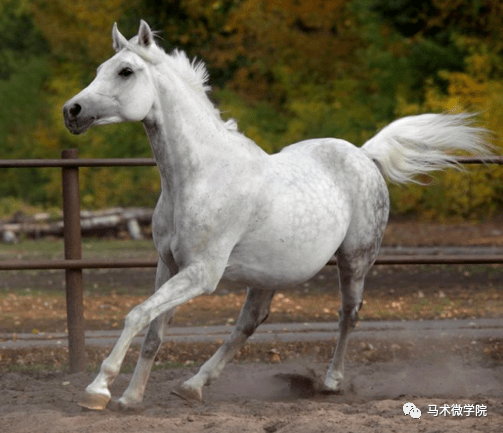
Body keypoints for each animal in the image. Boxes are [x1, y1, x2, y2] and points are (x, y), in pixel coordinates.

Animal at [62, 21, 488, 412]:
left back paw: (330, 382)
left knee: (347, 315)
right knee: (250, 323)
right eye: (101, 68)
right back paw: (192, 386)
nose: (72, 111)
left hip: (354, 261)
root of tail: (365, 155)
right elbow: (153, 330)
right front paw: (131, 397)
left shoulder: (202, 273)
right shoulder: (168, 265)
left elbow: (136, 315)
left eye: (125, 71)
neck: (198, 176)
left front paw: (98, 391)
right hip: (267, 274)